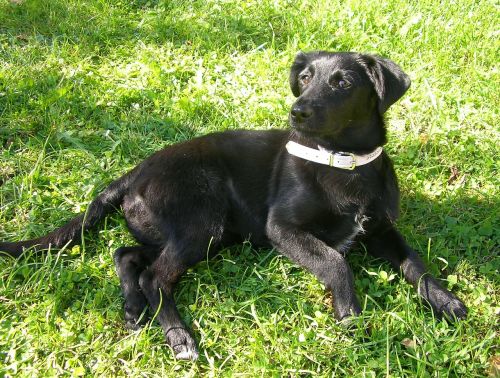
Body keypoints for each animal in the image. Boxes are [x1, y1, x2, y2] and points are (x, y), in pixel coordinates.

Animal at [0, 51, 468, 360]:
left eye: (342, 83)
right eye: (305, 77)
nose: (297, 112)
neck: (343, 163)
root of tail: (135, 172)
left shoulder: (383, 230)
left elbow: (416, 263)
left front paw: (444, 301)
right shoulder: (283, 228)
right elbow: (336, 261)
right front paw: (351, 317)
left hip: (194, 233)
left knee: (127, 254)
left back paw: (133, 310)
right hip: (202, 221)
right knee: (155, 276)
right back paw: (178, 336)